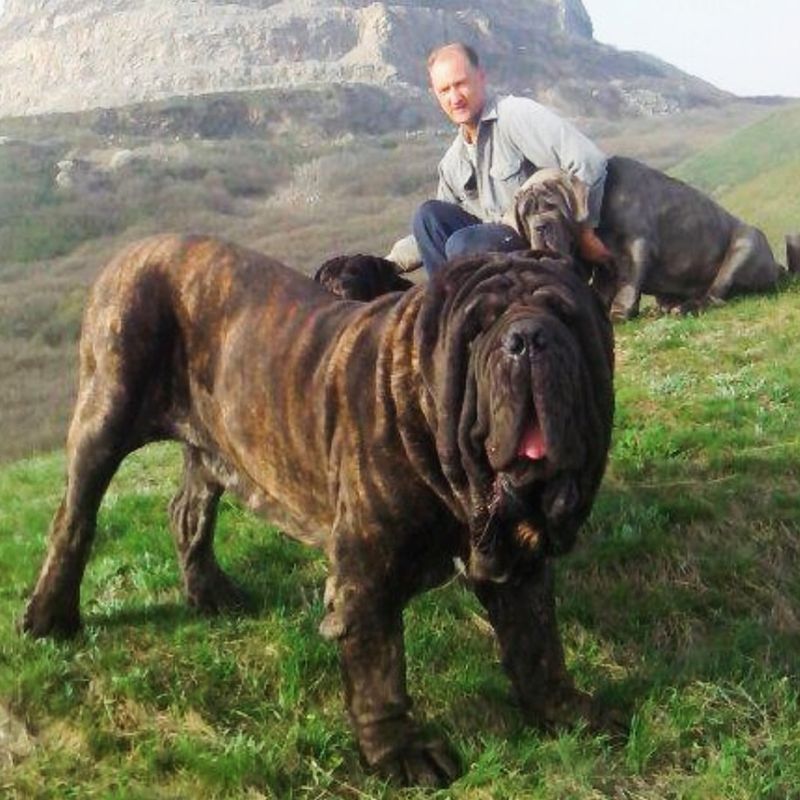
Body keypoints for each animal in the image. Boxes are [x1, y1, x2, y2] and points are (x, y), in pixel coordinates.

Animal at [23, 234, 612, 792]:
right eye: (476, 331)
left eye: (566, 316)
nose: (528, 338)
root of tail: (131, 251)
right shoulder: (365, 574)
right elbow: (379, 666)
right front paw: (400, 753)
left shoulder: (519, 560)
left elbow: (536, 640)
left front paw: (562, 707)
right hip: (105, 413)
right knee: (74, 518)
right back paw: (51, 617)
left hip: (215, 442)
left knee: (188, 511)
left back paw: (209, 592)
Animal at [510, 156, 784, 318]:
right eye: (526, 214)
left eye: (552, 206)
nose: (540, 226)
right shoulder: (605, 264)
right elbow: (603, 286)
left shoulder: (637, 244)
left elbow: (629, 280)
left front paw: (619, 312)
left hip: (746, 244)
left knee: (716, 294)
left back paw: (686, 308)